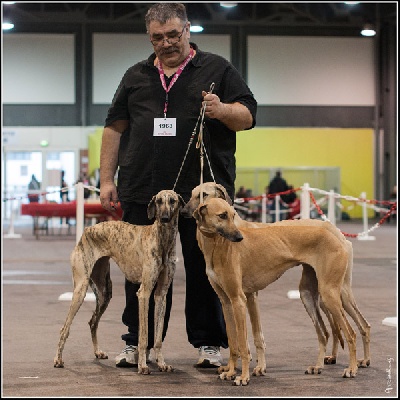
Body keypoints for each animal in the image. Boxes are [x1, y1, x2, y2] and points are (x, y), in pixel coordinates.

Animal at [53, 189, 184, 374]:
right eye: (158, 201)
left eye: (172, 201)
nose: (164, 218)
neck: (163, 240)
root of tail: (88, 229)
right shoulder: (144, 293)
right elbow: (143, 336)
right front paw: (142, 366)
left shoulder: (161, 295)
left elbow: (157, 337)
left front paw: (162, 364)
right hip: (80, 289)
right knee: (64, 328)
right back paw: (58, 359)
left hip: (104, 292)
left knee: (92, 322)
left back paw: (98, 352)